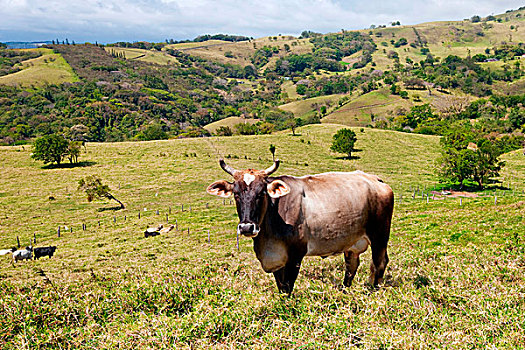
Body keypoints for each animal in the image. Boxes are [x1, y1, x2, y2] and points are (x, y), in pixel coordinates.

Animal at [207, 160, 390, 294]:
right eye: (236, 194)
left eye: (262, 193)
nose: (246, 227)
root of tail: (375, 179)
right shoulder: (277, 259)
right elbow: (281, 287)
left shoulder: (295, 255)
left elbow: (288, 286)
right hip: (352, 242)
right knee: (351, 265)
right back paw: (344, 292)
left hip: (380, 236)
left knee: (378, 263)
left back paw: (374, 291)